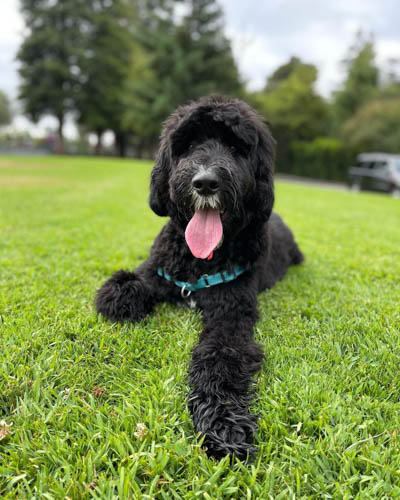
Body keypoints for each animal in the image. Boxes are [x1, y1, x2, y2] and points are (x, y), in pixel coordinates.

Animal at [97, 95, 304, 458]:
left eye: (236, 147)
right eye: (190, 145)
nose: (206, 182)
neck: (200, 262)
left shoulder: (231, 313)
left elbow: (220, 357)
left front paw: (223, 421)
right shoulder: (156, 269)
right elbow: (120, 288)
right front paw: (128, 300)